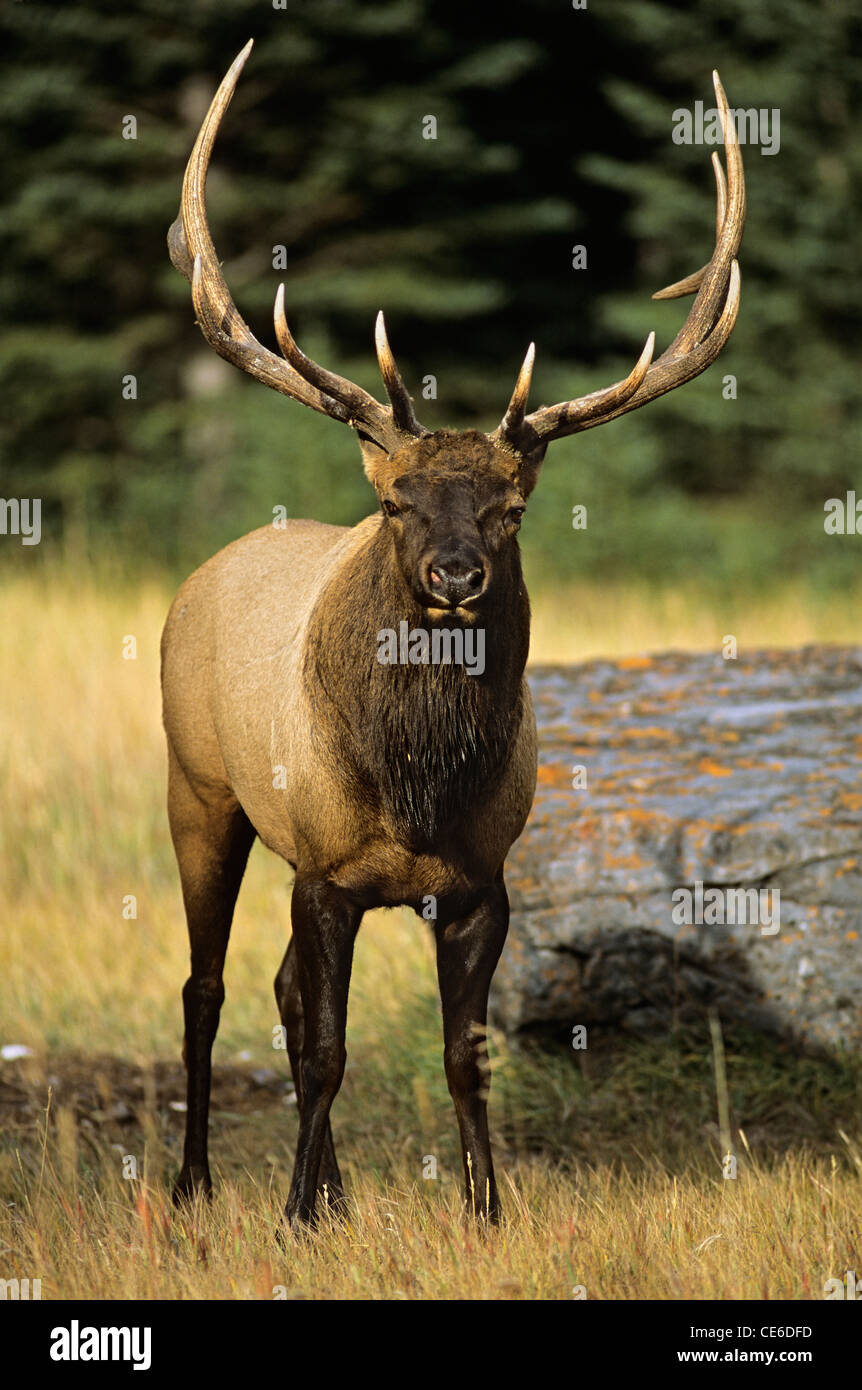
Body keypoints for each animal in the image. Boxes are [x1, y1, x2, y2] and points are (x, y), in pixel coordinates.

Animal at [164, 40, 745, 1228]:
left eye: (509, 509)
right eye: (395, 503)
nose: (455, 575)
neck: (417, 788)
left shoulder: (484, 877)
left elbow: (462, 1054)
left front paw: (484, 1210)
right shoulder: (325, 867)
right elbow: (325, 1051)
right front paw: (293, 1214)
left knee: (276, 989)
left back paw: (333, 1191)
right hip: (198, 788)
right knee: (207, 987)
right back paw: (198, 1183)